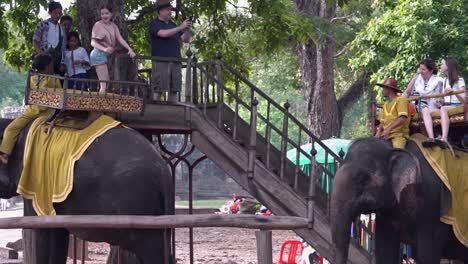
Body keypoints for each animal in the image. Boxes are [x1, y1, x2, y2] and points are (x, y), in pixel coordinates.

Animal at [0, 119, 175, 264]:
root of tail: (163, 171)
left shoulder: (34, 180)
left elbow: (41, 229)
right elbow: (57, 232)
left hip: (139, 207)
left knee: (152, 251)